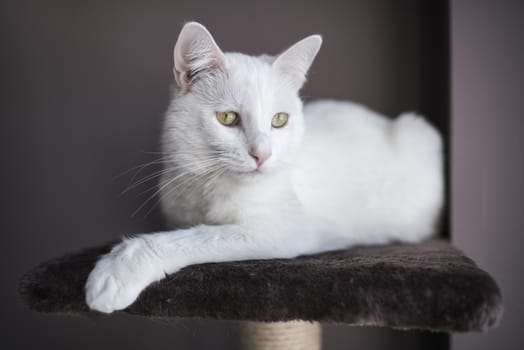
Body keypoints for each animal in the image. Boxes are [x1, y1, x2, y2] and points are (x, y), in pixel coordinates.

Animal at [85, 22, 442, 312]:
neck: (206, 185)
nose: (262, 154)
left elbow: (195, 238)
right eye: (227, 117)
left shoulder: (284, 230)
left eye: (279, 120)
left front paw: (113, 273)